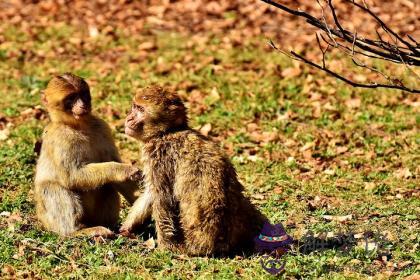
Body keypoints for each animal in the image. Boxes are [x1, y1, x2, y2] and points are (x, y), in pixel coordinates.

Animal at [34, 73, 141, 237]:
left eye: (83, 94)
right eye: (71, 98)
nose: (83, 105)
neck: (79, 126)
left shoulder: (102, 127)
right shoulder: (61, 138)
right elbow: (72, 176)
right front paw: (124, 169)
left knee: (107, 184)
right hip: (49, 220)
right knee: (53, 187)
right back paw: (78, 231)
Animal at [120, 85, 268, 256]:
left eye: (140, 109)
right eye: (134, 107)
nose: (129, 118)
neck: (167, 132)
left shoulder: (158, 158)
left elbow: (163, 199)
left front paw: (166, 247)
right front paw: (128, 226)